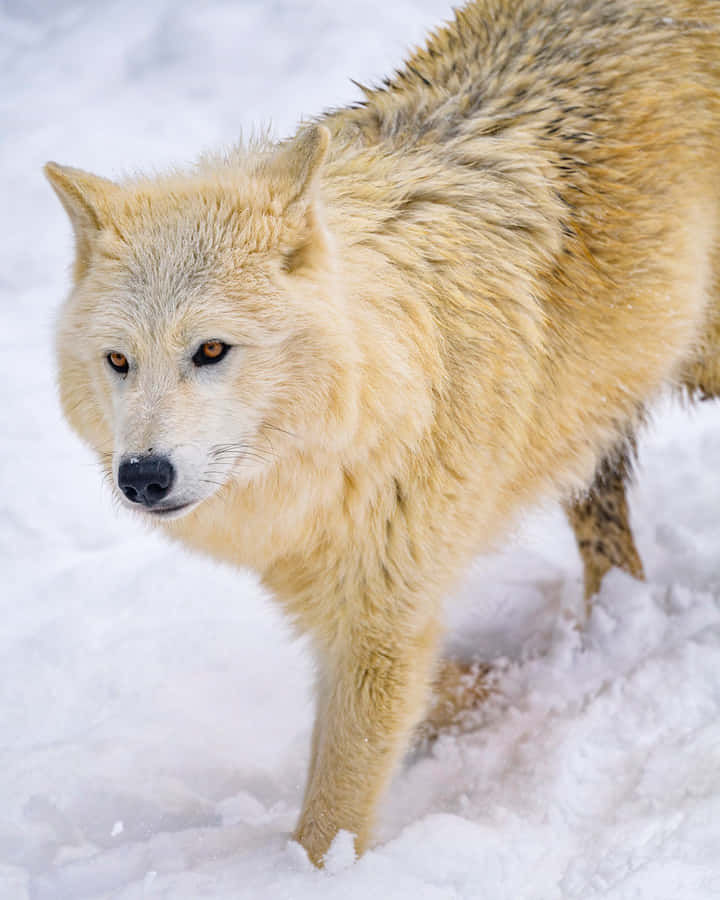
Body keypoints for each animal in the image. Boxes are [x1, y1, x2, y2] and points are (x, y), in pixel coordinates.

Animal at [46, 0, 720, 866]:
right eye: (119, 361)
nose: (142, 476)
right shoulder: (351, 603)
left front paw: (309, 875)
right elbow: (419, 691)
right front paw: (491, 690)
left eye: (211, 350)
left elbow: (332, 811)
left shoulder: (382, 617)